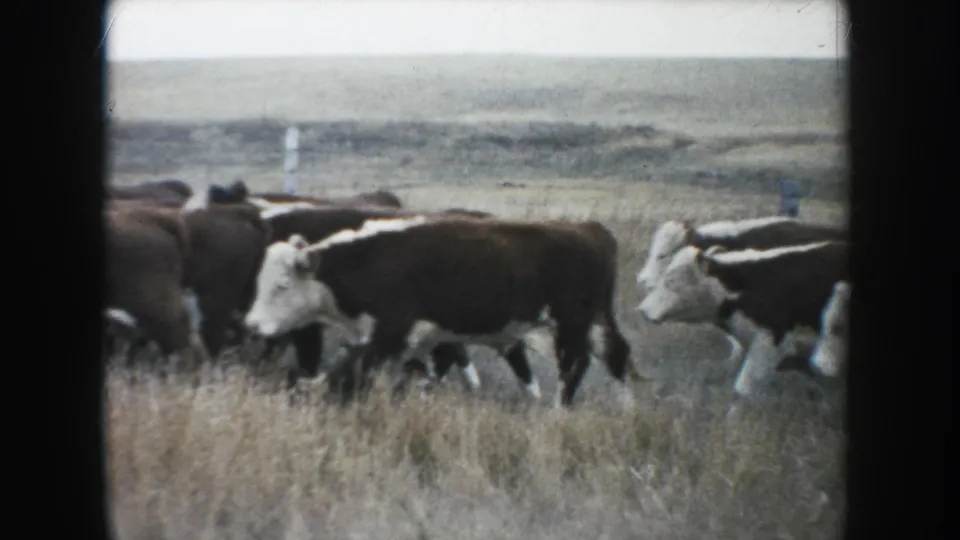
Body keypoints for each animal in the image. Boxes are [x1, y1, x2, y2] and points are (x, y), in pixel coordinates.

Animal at [243, 215, 650, 408]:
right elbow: (416, 377)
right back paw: (629, 411)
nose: (252, 326)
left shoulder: (390, 333)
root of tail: (588, 229)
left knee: (574, 367)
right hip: (595, 320)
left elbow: (354, 371)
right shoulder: (416, 341)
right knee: (616, 355)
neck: (368, 261)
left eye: (282, 285)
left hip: (570, 324)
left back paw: (557, 411)